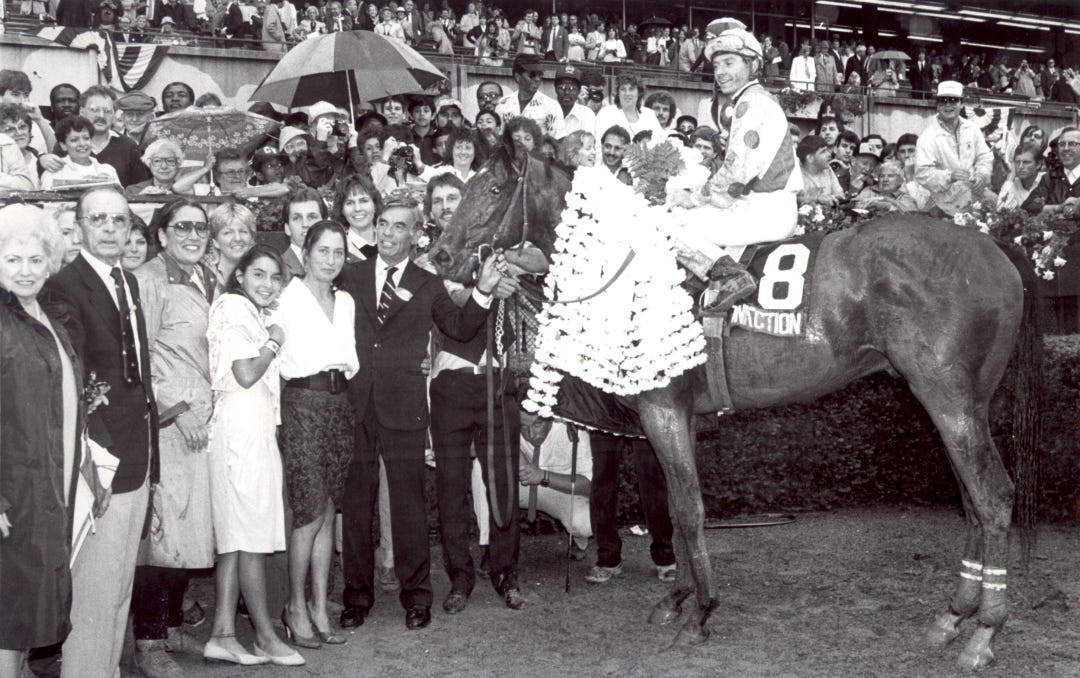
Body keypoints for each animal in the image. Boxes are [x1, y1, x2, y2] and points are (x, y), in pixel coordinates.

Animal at [428, 147, 1041, 671]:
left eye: (493, 187)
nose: (440, 254)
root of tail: (995, 248)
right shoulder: (677, 416)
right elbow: (676, 509)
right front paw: (677, 599)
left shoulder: (663, 411)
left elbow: (689, 509)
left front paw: (700, 613)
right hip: (961, 404)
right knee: (971, 500)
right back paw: (953, 616)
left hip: (949, 399)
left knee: (993, 495)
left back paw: (985, 631)